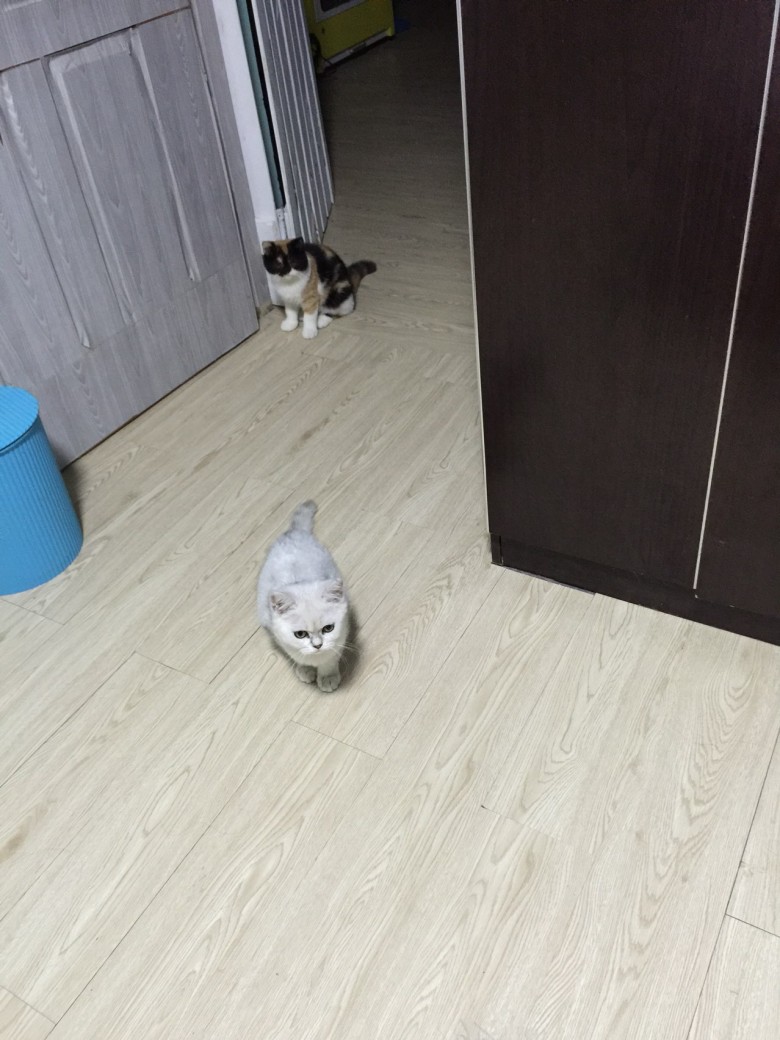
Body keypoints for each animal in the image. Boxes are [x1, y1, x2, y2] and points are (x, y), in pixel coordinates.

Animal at [257, 500, 349, 692]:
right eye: (300, 634)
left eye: (328, 628)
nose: (317, 645)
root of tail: (294, 532)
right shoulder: (280, 636)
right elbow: (297, 655)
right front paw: (306, 669)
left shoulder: (342, 632)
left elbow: (330, 657)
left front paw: (327, 676)